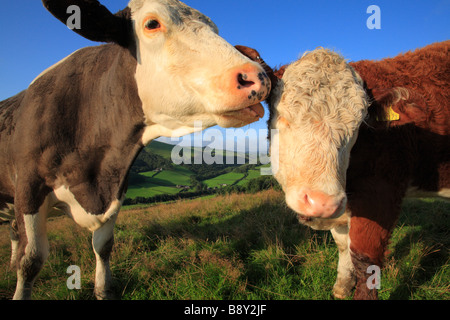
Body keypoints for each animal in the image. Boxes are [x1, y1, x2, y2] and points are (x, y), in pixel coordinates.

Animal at [0, 0, 270, 300]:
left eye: (215, 29)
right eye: (152, 24)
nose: (256, 75)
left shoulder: (117, 189)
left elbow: (104, 245)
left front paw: (103, 291)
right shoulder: (28, 189)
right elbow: (31, 260)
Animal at [253, 42, 446, 300]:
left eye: (357, 127)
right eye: (283, 117)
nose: (322, 203)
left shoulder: (382, 193)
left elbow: (366, 259)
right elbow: (344, 245)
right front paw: (343, 285)